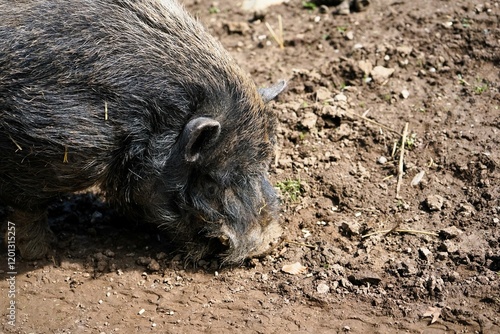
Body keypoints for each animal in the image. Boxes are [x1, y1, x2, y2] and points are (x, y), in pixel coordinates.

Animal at [0, 0, 286, 264]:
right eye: (211, 181)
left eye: (264, 164)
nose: (266, 244)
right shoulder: (49, 151)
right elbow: (28, 209)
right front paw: (39, 254)